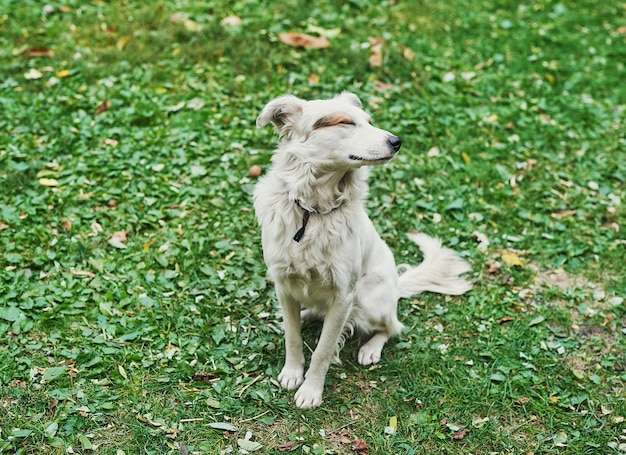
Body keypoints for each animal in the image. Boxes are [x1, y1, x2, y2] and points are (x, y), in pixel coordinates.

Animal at [252, 92, 468, 410]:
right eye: (344, 122)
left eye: (369, 121)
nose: (397, 141)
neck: (313, 212)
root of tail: (396, 286)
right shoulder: (284, 284)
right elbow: (293, 337)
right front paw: (292, 372)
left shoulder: (344, 296)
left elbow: (324, 350)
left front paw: (311, 390)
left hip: (369, 299)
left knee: (392, 326)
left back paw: (371, 349)